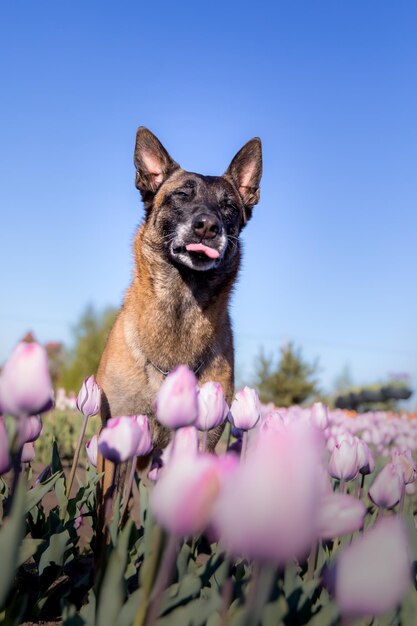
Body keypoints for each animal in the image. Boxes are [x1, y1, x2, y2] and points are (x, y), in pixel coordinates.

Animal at [96, 127, 262, 502]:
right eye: (181, 196)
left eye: (229, 207)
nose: (207, 226)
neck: (180, 305)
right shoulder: (117, 434)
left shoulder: (202, 438)